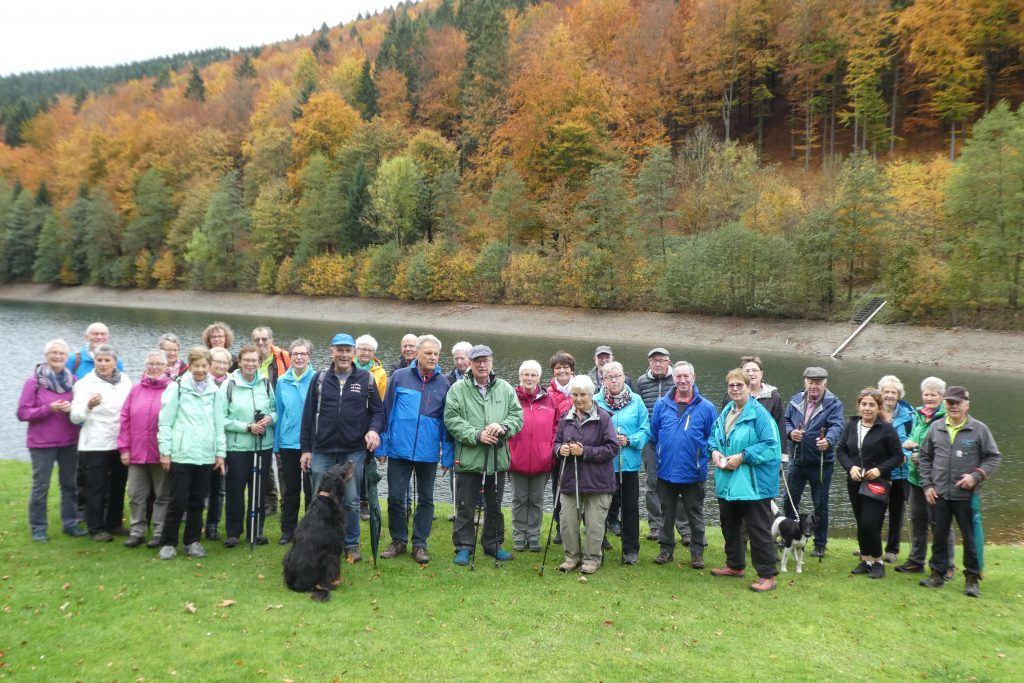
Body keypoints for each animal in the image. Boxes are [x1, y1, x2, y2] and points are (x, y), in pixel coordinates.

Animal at [282, 462, 354, 602]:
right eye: (341, 468)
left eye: (339, 464)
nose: (350, 461)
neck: (328, 496)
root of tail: (296, 583)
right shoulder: (335, 548)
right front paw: (337, 580)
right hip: (327, 560)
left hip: (287, 554)